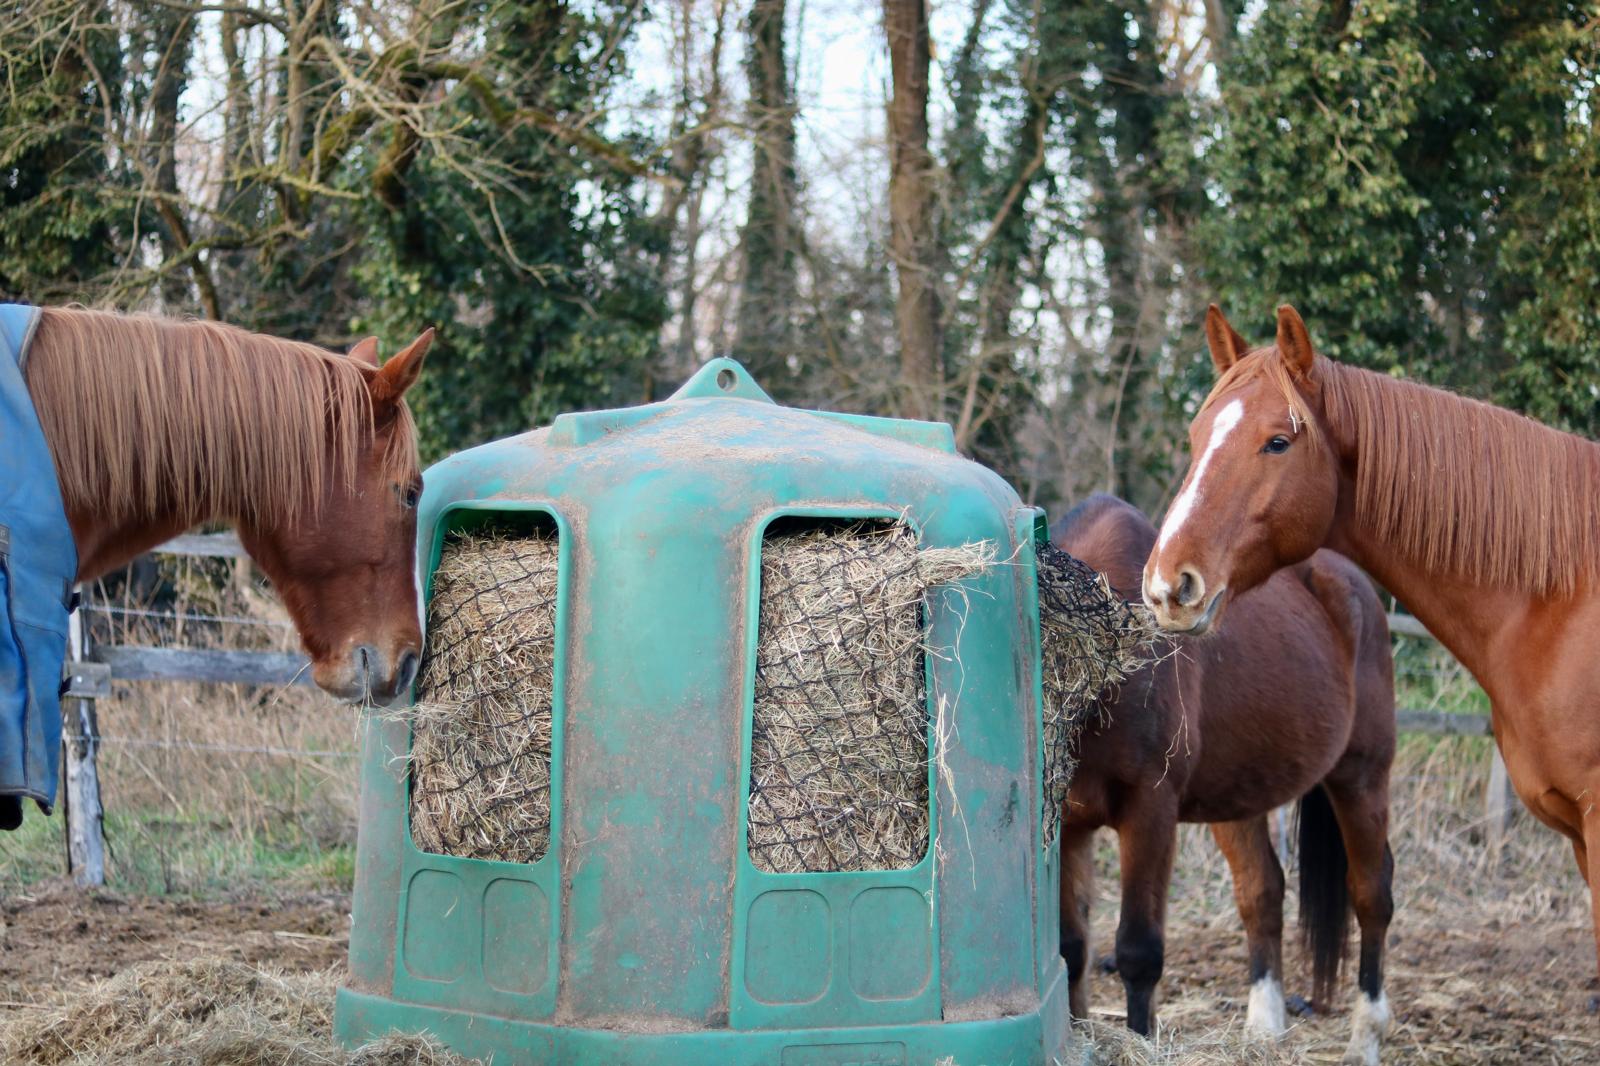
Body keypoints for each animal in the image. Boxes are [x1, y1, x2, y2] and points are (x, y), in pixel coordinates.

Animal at [1054, 493, 1397, 1065]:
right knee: (1262, 892)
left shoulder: (1150, 813)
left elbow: (1138, 951)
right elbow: (1070, 948)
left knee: (1372, 892)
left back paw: (1365, 1036)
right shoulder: (1064, 826)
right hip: (1241, 798)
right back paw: (1264, 1030)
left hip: (1361, 777)